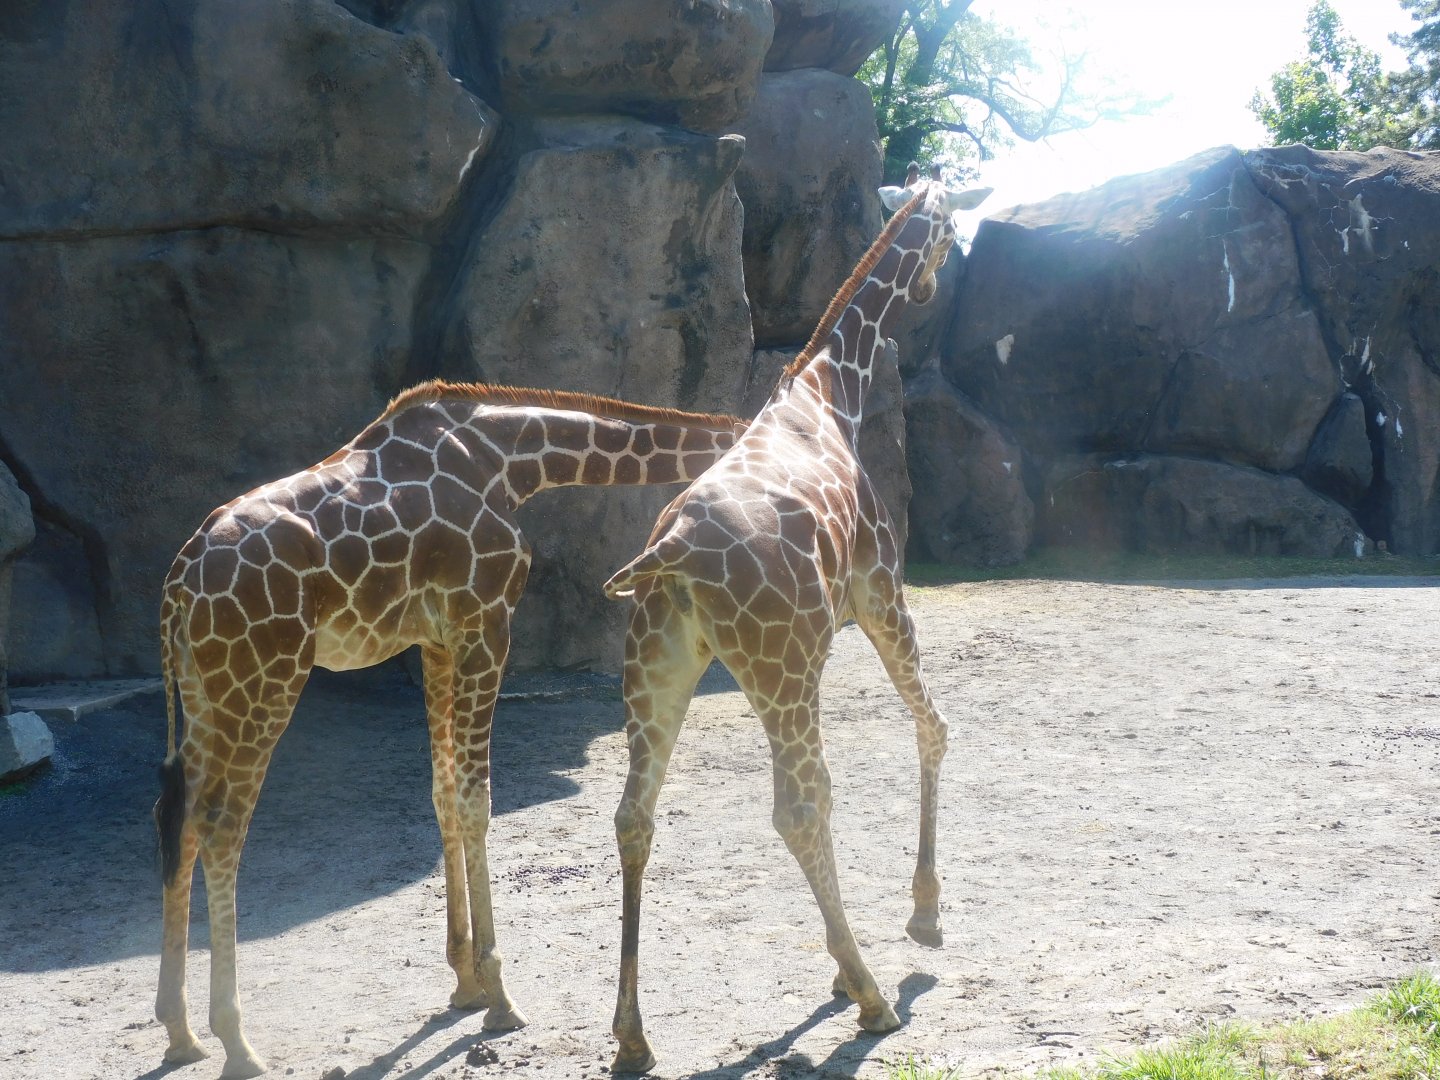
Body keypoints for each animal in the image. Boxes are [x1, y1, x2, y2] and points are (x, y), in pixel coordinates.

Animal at [152, 379, 745, 1079]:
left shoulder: (435, 639)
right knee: (222, 827)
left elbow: (441, 796)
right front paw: (500, 996)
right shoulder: (486, 619)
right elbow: (475, 801)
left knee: (178, 818)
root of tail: (178, 586)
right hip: (265, 677)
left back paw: (180, 1031)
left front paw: (465, 982)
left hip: (202, 689)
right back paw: (237, 1043)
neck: (513, 458)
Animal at [600, 169, 991, 1072]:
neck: (832, 388)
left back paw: (633, 1037)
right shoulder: (881, 587)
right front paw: (924, 915)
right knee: (800, 806)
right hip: (782, 666)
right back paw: (875, 997)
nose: (936, 285)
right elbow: (935, 727)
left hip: (656, 670)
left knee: (635, 815)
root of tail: (669, 555)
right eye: (950, 229)